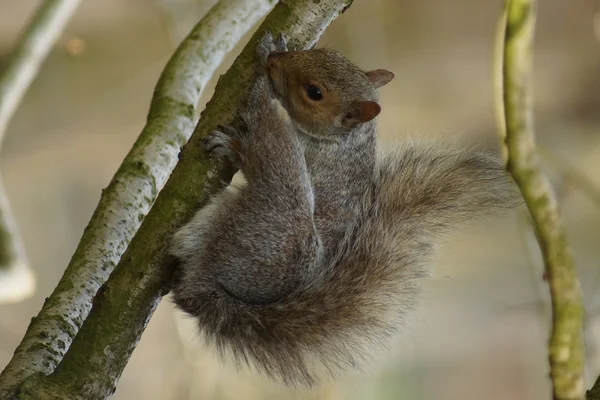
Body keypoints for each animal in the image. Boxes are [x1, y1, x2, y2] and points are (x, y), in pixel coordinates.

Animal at [169, 32, 520, 388]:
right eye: (330, 53)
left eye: (314, 92)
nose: (275, 61)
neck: (344, 139)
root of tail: (213, 291)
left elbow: (269, 139)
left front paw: (264, 64)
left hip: (274, 216)